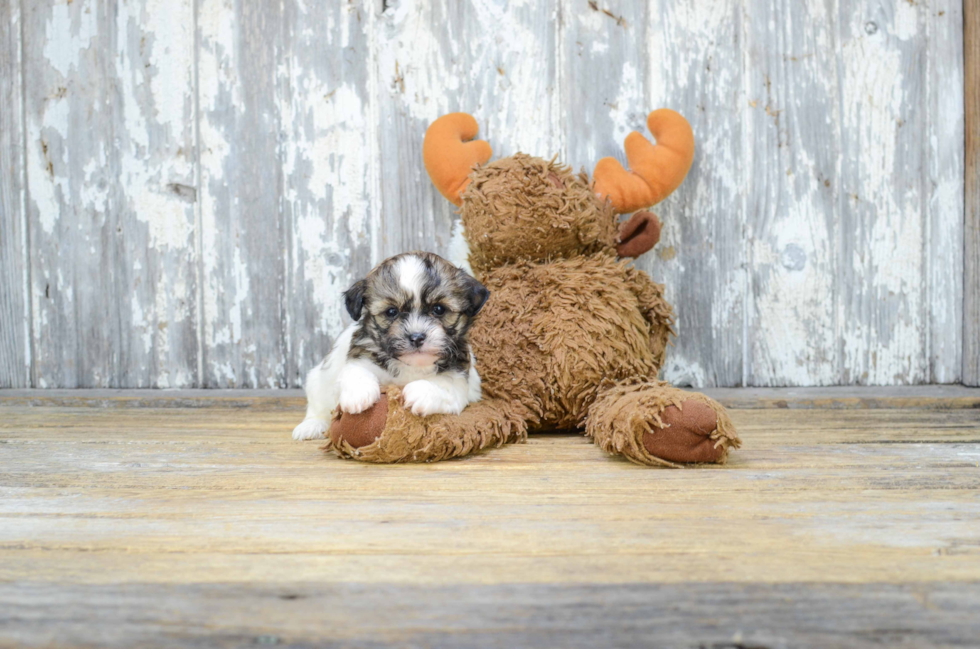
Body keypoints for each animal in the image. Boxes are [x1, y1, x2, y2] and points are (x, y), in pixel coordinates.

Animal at [290, 249, 490, 440]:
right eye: (391, 312)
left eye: (439, 309)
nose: (417, 337)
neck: (412, 366)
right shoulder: (361, 356)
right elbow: (356, 372)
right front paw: (359, 394)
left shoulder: (458, 377)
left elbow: (445, 386)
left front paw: (421, 392)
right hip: (317, 381)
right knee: (317, 407)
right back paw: (311, 425)